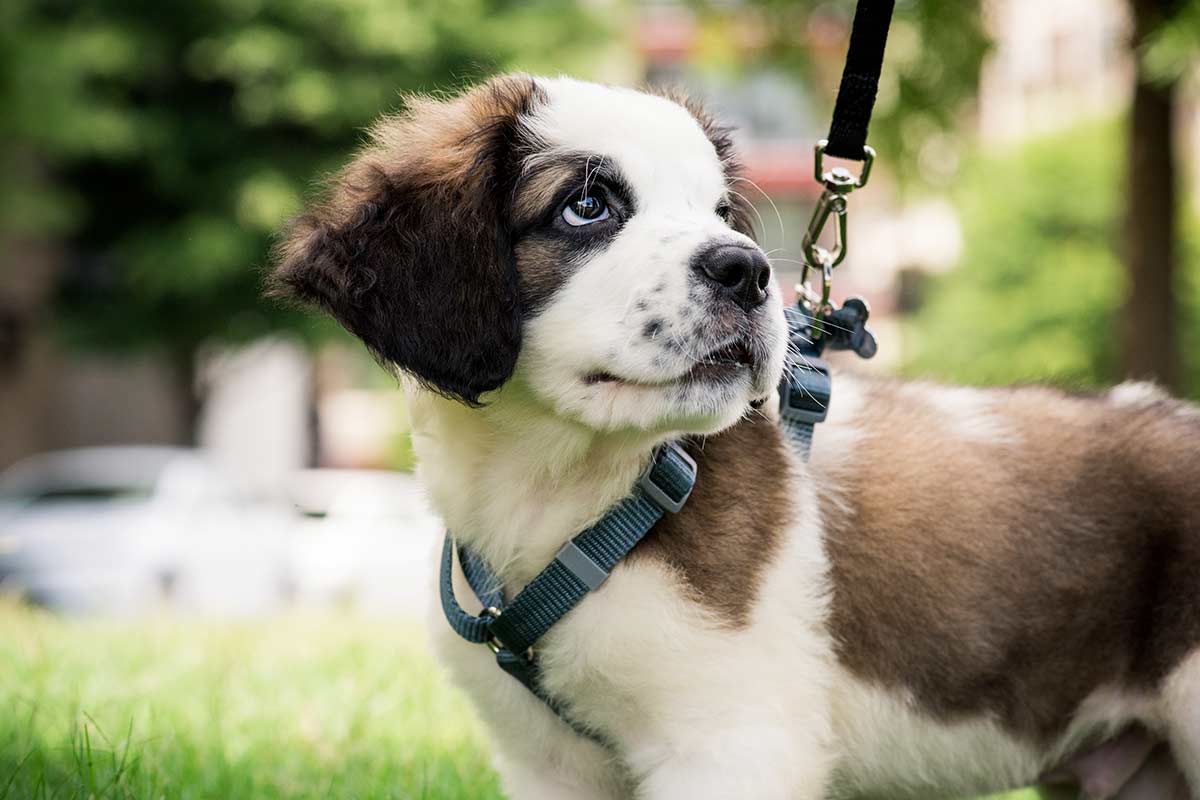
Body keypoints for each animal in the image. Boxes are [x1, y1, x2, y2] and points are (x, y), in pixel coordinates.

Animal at [272, 73, 1200, 796]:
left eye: (720, 211)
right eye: (585, 206)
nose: (748, 270)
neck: (561, 488)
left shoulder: (731, 744)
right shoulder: (548, 768)